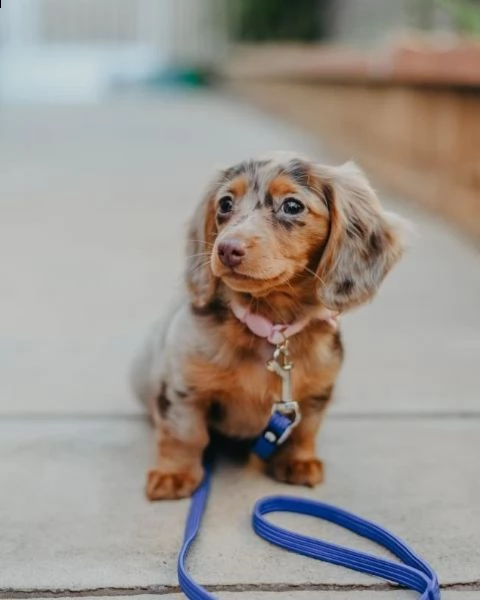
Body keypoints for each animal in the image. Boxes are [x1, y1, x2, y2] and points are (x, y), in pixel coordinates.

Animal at [132, 152, 408, 500]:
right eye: (225, 203)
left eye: (292, 206)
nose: (226, 249)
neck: (270, 327)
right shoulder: (184, 387)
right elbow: (185, 433)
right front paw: (174, 475)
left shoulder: (315, 391)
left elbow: (305, 430)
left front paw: (298, 462)